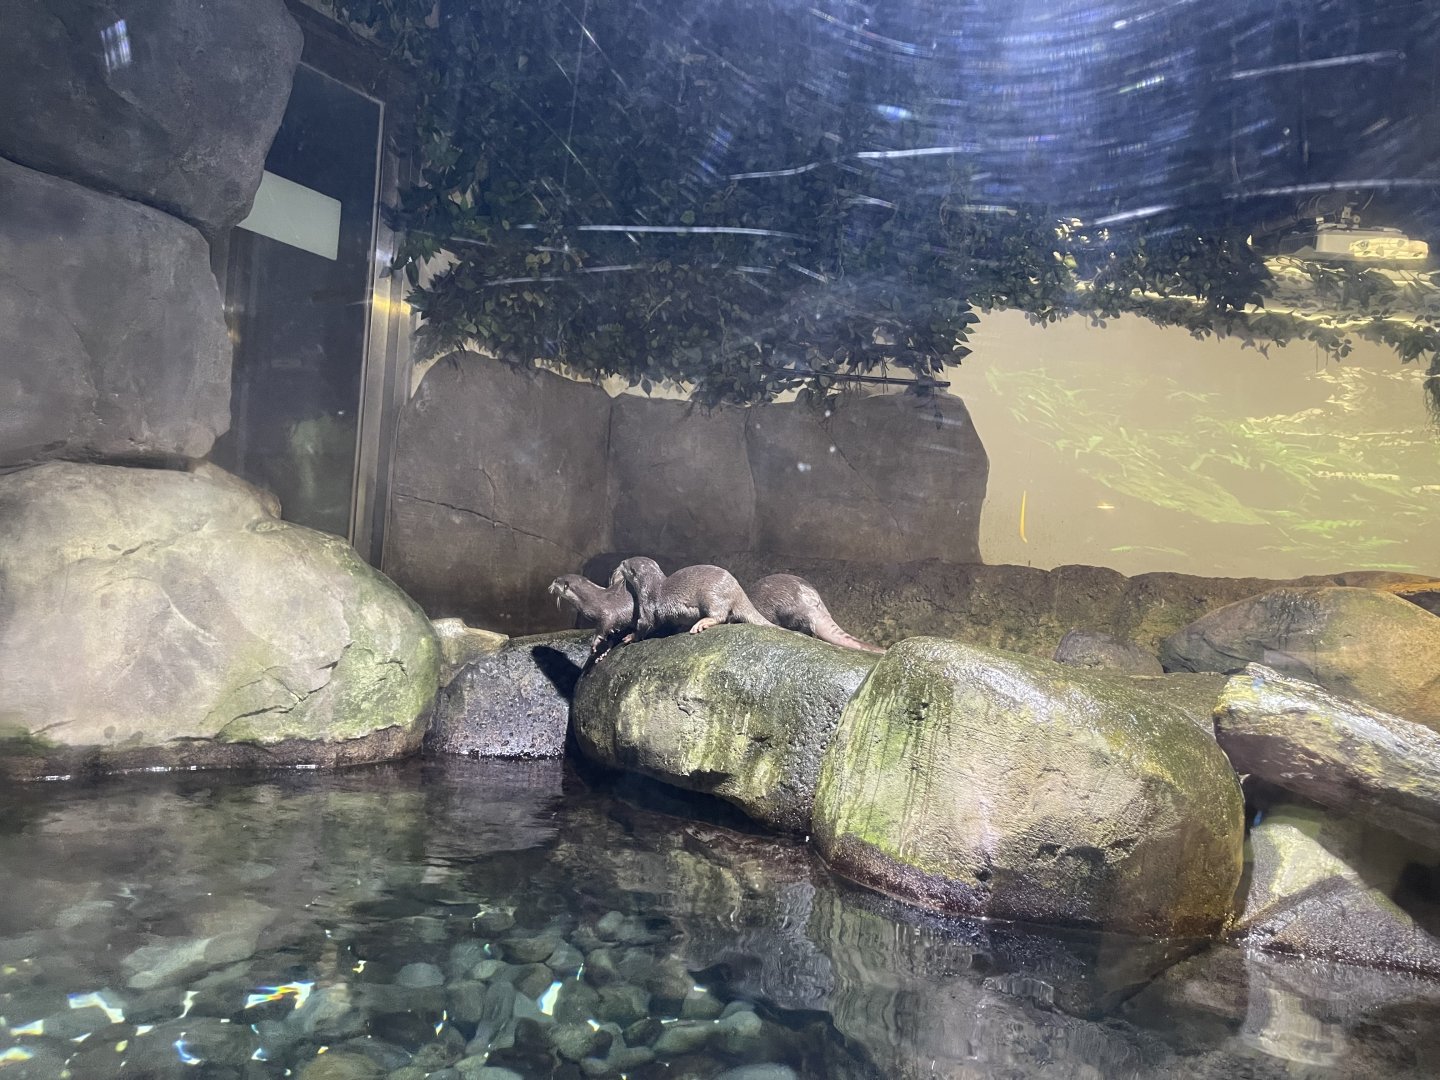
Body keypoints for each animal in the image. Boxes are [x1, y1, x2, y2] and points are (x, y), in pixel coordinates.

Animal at [617, 556, 774, 638]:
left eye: (625, 564)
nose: (621, 561)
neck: (651, 584)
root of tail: (737, 590)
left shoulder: (647, 602)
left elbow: (647, 623)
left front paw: (631, 636)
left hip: (711, 596)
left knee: (720, 615)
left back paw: (701, 623)